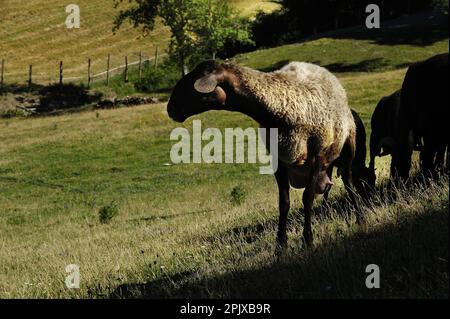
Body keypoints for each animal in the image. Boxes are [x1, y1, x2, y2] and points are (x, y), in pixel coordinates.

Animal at [167, 60, 364, 255]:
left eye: (193, 82)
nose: (170, 109)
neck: (277, 106)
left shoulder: (317, 154)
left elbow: (307, 198)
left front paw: (307, 240)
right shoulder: (278, 160)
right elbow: (284, 203)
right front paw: (280, 246)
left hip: (347, 146)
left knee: (348, 182)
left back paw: (360, 218)